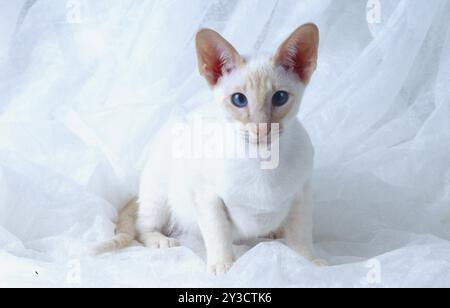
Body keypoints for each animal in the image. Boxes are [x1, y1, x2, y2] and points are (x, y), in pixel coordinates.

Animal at [93, 23, 322, 274]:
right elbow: (218, 233)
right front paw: (223, 266)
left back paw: (274, 231)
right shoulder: (206, 195)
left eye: (280, 97)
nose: (261, 129)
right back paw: (160, 240)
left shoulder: (303, 193)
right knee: (142, 227)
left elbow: (300, 236)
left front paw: (309, 263)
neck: (262, 161)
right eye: (239, 100)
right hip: (158, 193)